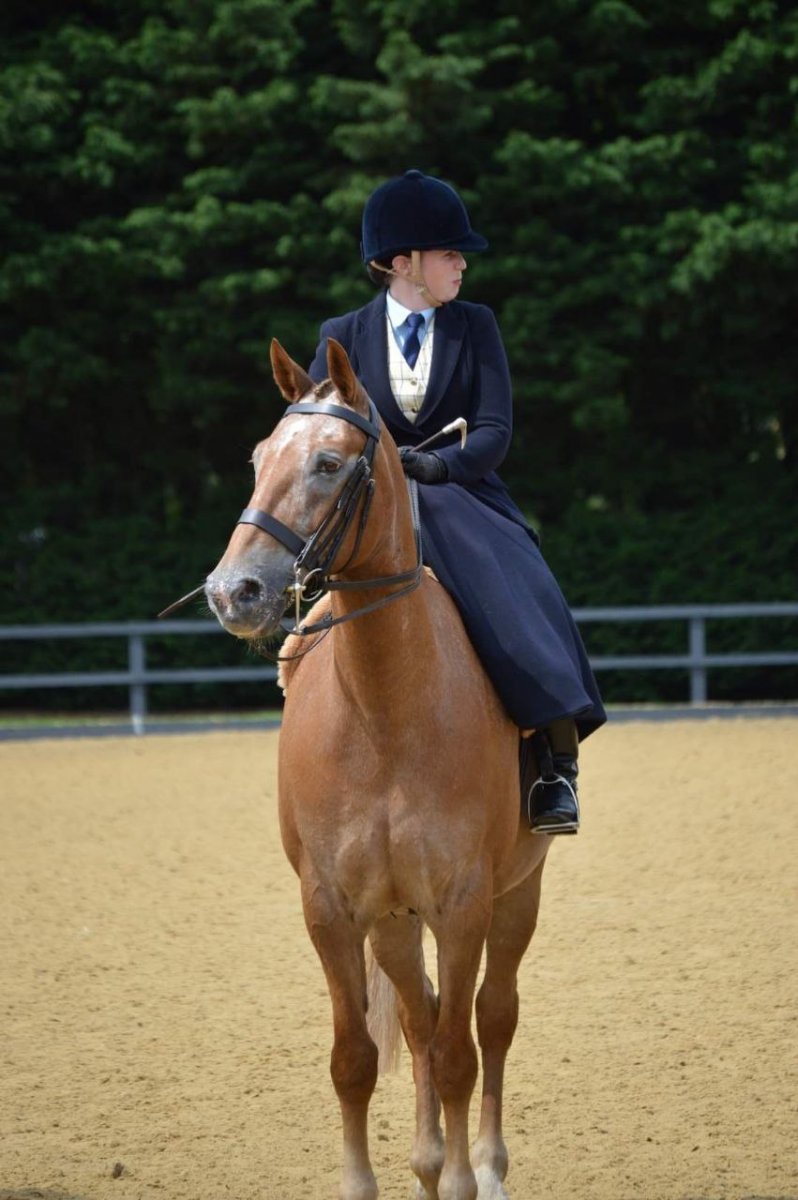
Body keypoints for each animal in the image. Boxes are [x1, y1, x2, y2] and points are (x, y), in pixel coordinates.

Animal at [205, 340, 552, 1200]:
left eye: (328, 463)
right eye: (259, 458)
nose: (234, 593)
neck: (386, 708)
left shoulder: (462, 906)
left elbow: (461, 1055)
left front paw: (463, 1179)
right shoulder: (331, 910)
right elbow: (356, 1060)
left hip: (516, 894)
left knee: (492, 1017)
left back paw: (484, 1165)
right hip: (394, 920)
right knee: (422, 1014)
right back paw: (428, 1161)